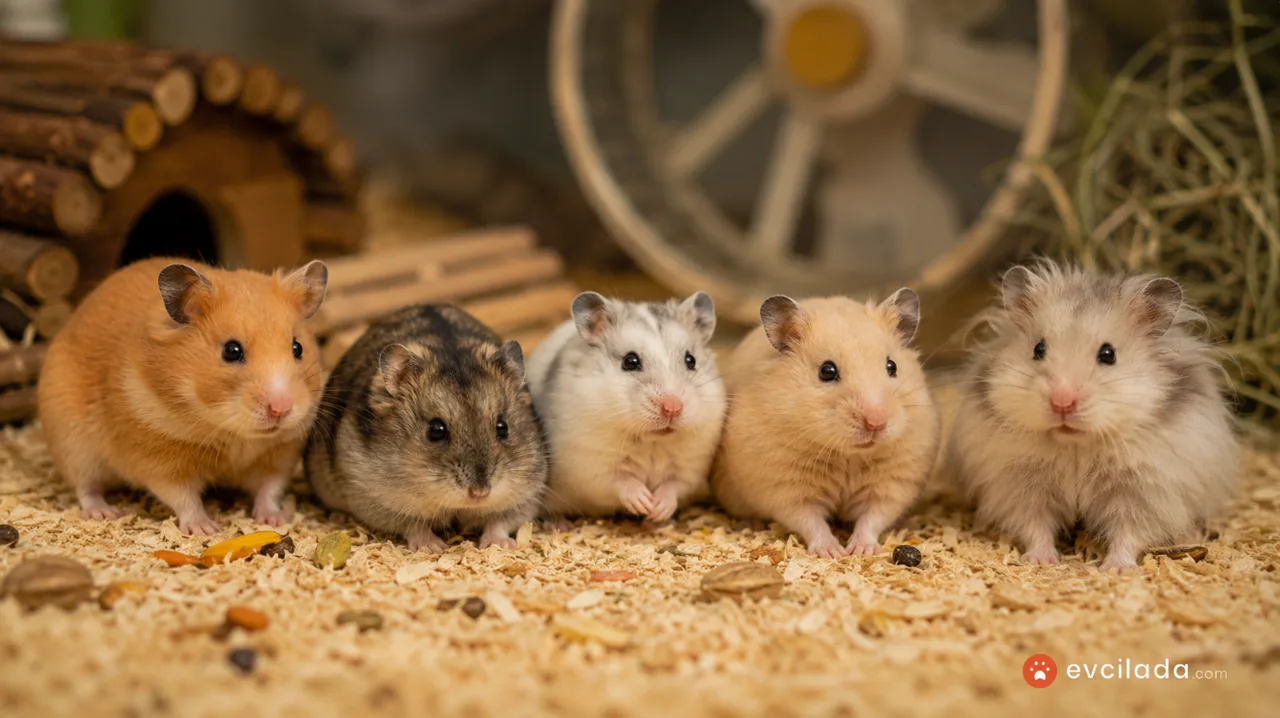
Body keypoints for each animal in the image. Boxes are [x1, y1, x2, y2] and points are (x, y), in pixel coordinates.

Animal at [38, 257, 329, 535]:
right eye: (231, 351)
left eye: (297, 347)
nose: (281, 409)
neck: (235, 433)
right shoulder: (158, 459)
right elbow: (184, 497)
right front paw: (205, 529)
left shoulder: (280, 453)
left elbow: (270, 488)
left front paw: (275, 520)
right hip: (73, 445)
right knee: (85, 488)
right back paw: (105, 512)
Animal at [304, 304, 547, 552]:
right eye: (436, 430)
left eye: (502, 427)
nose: (480, 493)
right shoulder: (373, 498)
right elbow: (414, 525)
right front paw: (435, 547)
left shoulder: (528, 494)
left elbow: (500, 521)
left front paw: (501, 545)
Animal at [525, 292, 726, 525]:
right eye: (630, 361)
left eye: (691, 360)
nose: (673, 408)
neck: (652, 440)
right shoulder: (591, 466)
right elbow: (620, 481)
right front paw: (643, 502)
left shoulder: (691, 467)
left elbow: (673, 486)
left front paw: (657, 510)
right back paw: (558, 524)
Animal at [713, 291, 939, 558]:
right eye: (827, 371)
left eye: (892, 366)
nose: (876, 423)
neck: (849, 455)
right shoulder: (784, 486)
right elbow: (810, 520)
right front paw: (833, 552)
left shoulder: (894, 481)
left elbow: (873, 517)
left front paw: (861, 551)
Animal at [949, 261, 1241, 572]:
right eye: (1038, 349)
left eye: (1108, 354)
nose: (1062, 402)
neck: (1076, 444)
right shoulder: (1021, 485)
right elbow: (1035, 526)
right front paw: (1042, 561)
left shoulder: (1144, 491)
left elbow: (1129, 533)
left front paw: (1115, 569)